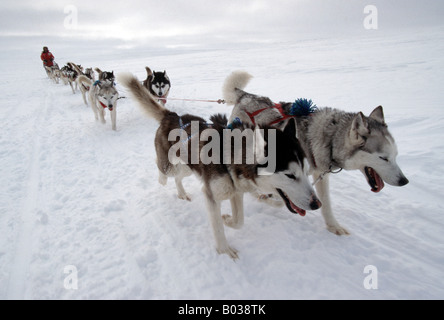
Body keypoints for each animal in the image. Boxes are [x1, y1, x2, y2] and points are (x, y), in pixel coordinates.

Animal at [118, 71, 320, 258]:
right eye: (290, 175)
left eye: (306, 171)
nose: (317, 204)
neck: (233, 155)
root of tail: (172, 115)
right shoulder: (212, 195)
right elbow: (217, 227)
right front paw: (224, 249)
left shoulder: (235, 192)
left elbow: (239, 220)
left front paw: (227, 219)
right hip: (171, 165)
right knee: (163, 170)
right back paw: (162, 179)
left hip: (189, 168)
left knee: (178, 178)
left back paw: (182, 193)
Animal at [222, 70, 410, 235]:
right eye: (383, 158)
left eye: (395, 156)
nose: (404, 181)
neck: (330, 140)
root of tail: (246, 95)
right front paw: (267, 197)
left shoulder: (319, 176)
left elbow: (324, 203)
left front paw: (333, 226)